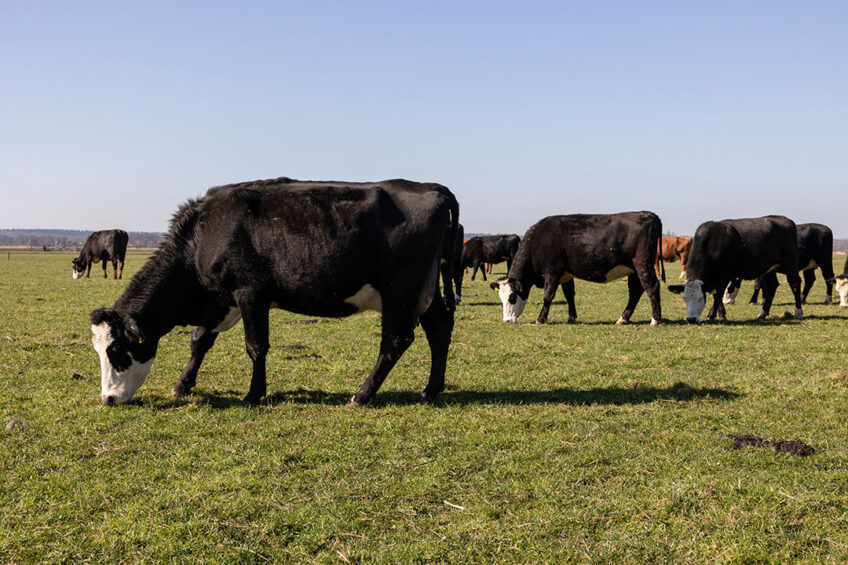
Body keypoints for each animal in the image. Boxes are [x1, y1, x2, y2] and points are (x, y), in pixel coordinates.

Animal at [88, 176, 458, 406]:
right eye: (99, 350)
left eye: (116, 350)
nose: (108, 399)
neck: (205, 233)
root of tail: (429, 188)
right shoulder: (220, 299)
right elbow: (200, 341)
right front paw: (182, 384)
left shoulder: (250, 294)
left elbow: (256, 346)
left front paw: (254, 394)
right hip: (426, 294)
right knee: (439, 330)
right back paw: (430, 390)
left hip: (401, 292)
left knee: (395, 341)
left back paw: (362, 395)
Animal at [486, 212, 664, 326]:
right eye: (501, 298)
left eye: (512, 297)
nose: (507, 321)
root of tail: (650, 215)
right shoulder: (566, 274)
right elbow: (569, 294)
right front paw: (571, 317)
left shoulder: (552, 272)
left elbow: (548, 295)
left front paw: (540, 319)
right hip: (633, 269)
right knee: (635, 292)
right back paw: (623, 319)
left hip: (642, 264)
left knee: (652, 287)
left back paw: (655, 320)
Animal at [668, 215, 800, 322]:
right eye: (684, 298)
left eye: (701, 298)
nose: (690, 319)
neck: (712, 242)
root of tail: (787, 220)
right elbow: (717, 295)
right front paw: (720, 314)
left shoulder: (724, 275)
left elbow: (718, 294)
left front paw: (712, 315)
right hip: (769, 269)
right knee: (772, 286)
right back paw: (762, 314)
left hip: (790, 265)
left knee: (795, 283)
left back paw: (798, 312)